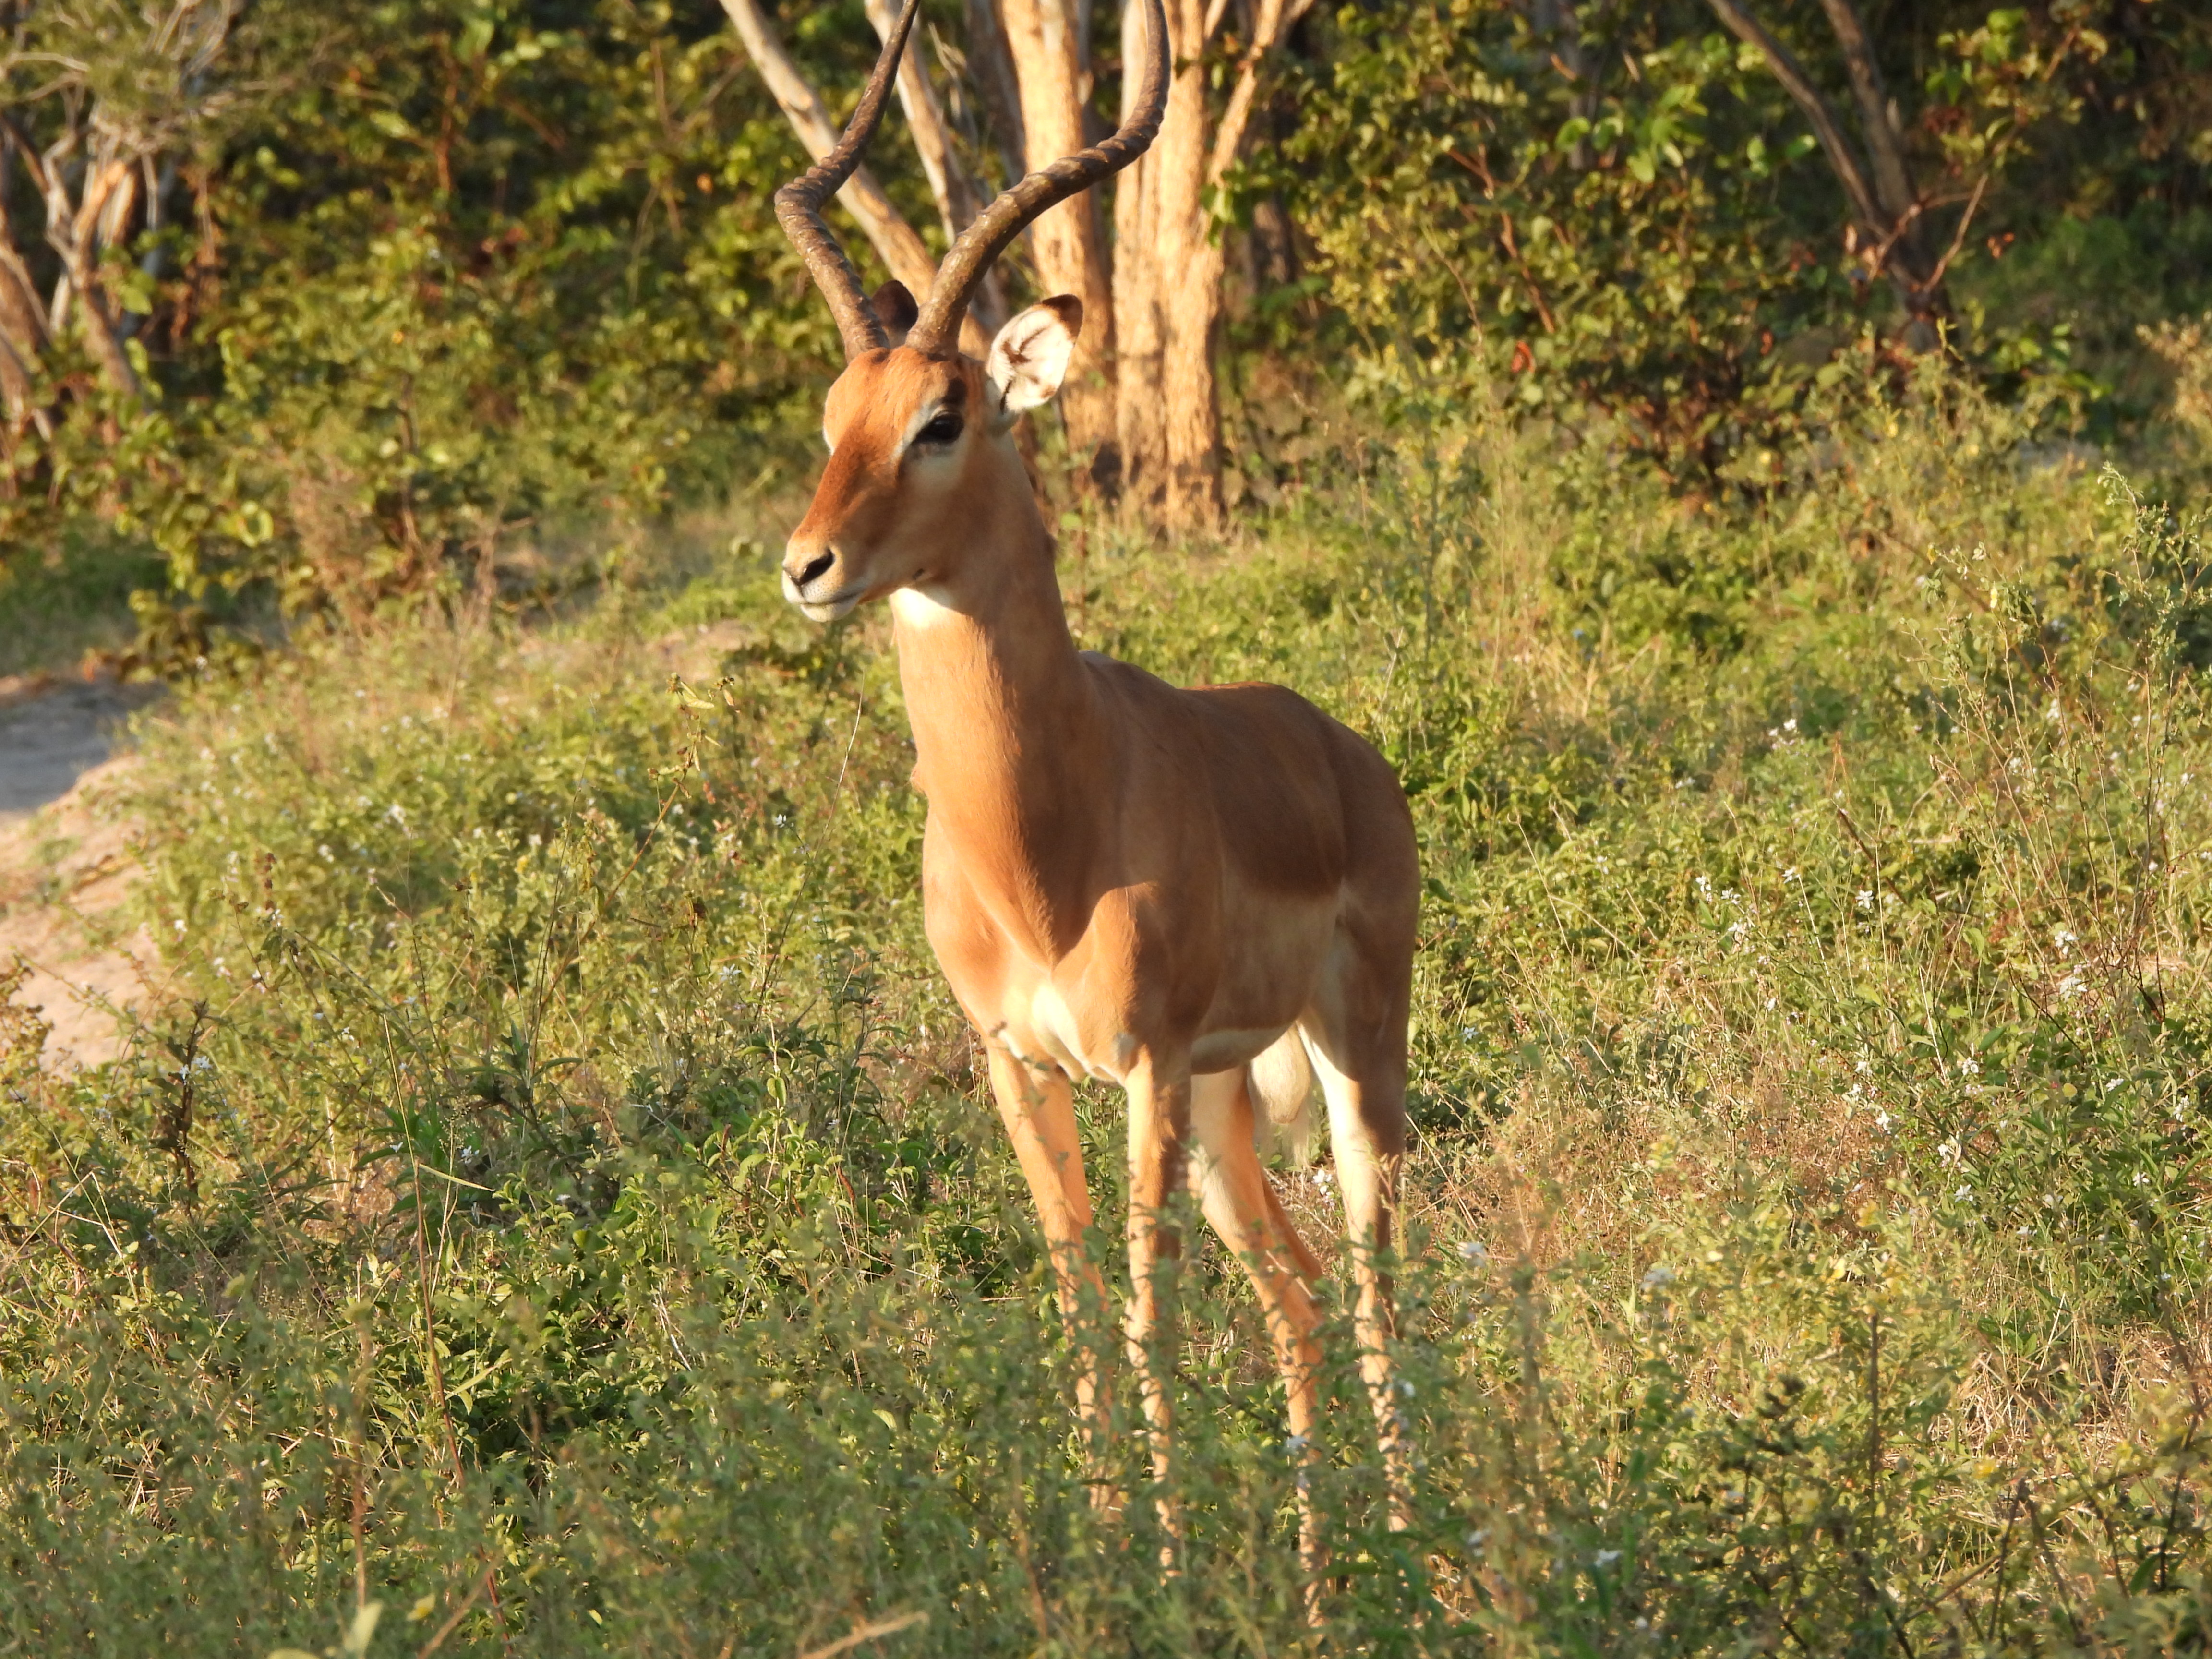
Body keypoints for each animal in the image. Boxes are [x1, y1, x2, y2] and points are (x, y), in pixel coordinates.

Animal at [770, 0, 1417, 1581]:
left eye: (945, 414)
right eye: (834, 411)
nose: (809, 566)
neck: (1038, 849)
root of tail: (1340, 746)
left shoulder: (1139, 1068)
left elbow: (1144, 1311)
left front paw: (1169, 1575)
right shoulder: (1021, 1065)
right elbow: (1073, 1306)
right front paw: (1116, 1554)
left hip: (1349, 1060)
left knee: (1377, 1280)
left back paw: (1426, 1557)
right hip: (1233, 1102)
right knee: (1297, 1300)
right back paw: (1322, 1582)